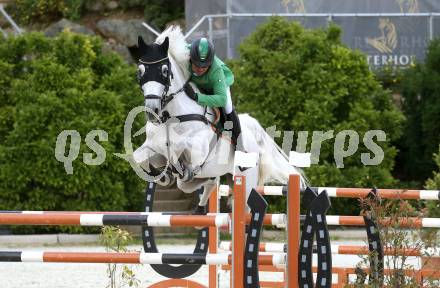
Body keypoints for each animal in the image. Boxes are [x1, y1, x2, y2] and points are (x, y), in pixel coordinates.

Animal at [134, 25, 306, 208]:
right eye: (140, 72)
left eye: (164, 71)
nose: (152, 110)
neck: (171, 116)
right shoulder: (152, 147)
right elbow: (139, 156)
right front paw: (163, 176)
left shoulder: (198, 150)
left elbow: (178, 149)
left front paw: (176, 164)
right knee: (196, 183)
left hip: (245, 182)